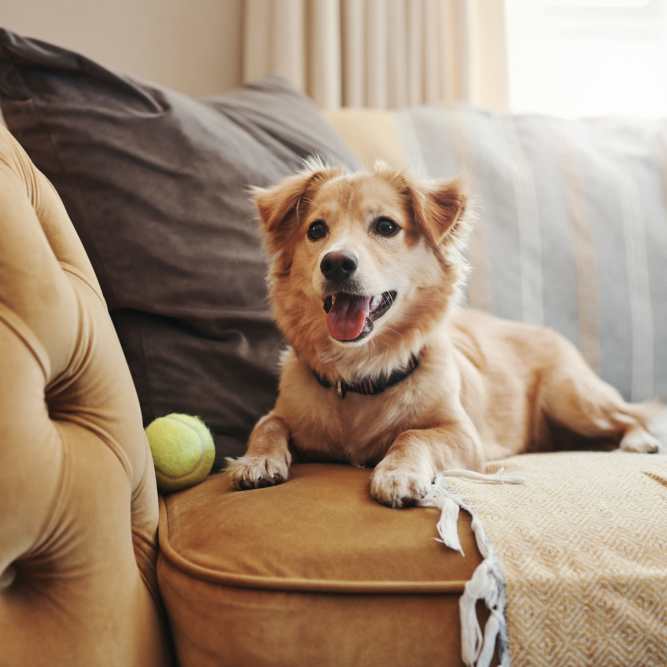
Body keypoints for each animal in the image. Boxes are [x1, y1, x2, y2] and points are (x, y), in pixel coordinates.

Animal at [227, 160, 664, 506]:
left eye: (386, 226)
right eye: (317, 230)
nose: (335, 263)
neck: (361, 373)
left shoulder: (463, 435)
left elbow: (413, 436)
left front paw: (397, 474)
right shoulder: (285, 413)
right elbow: (267, 424)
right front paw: (256, 460)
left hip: (572, 397)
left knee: (629, 415)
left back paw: (638, 440)